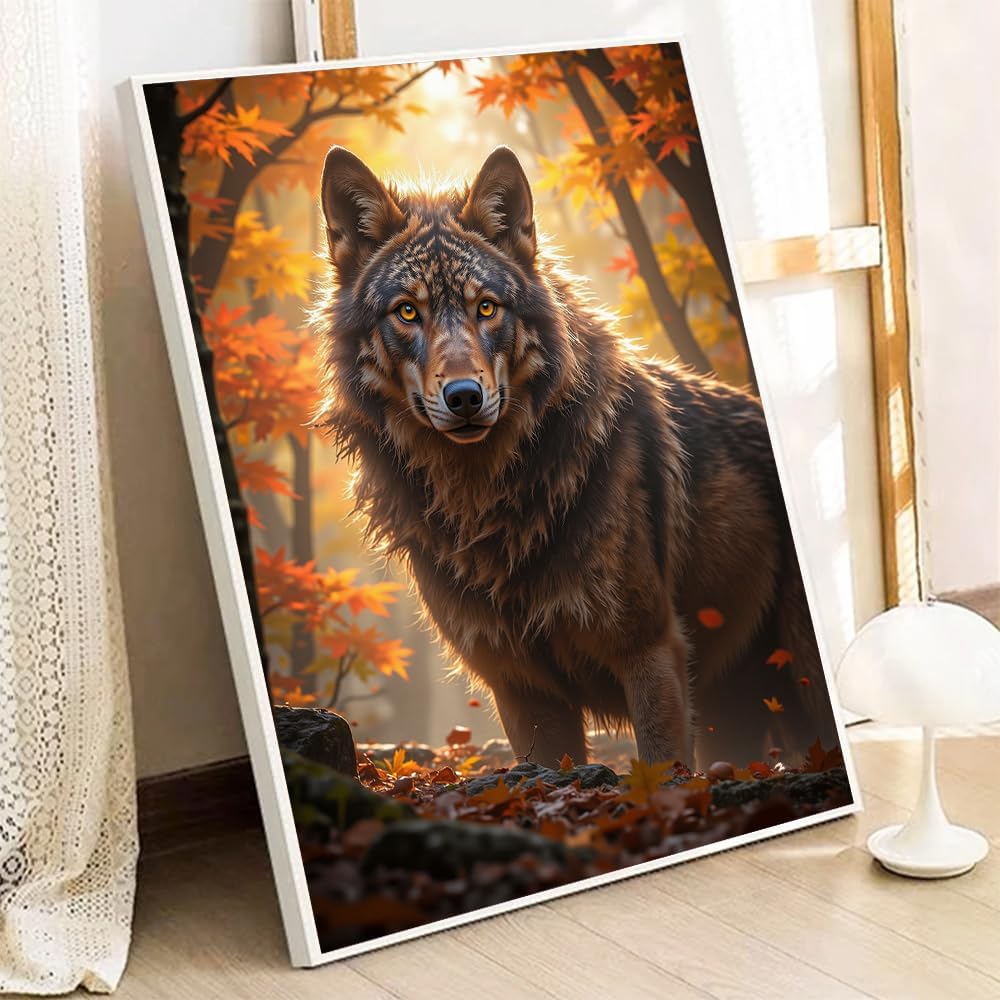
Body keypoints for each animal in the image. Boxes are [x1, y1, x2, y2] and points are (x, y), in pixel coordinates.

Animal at [315, 144, 839, 768]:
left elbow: (666, 774)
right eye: (407, 312)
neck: (487, 501)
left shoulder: (649, 650)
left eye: (486, 308)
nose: (465, 398)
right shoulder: (520, 688)